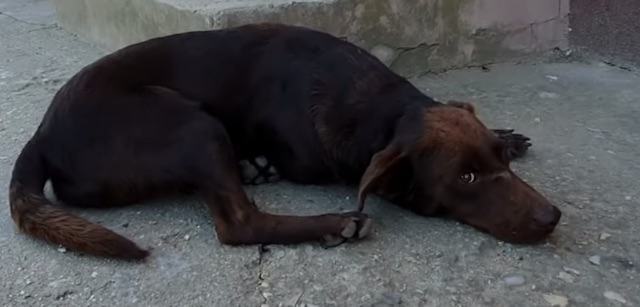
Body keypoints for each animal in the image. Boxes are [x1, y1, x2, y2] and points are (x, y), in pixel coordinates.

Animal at [8, 24, 560, 260]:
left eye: (499, 161)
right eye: (465, 178)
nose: (552, 217)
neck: (378, 106)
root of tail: (41, 133)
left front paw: (508, 134)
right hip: (192, 125)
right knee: (239, 224)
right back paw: (333, 223)